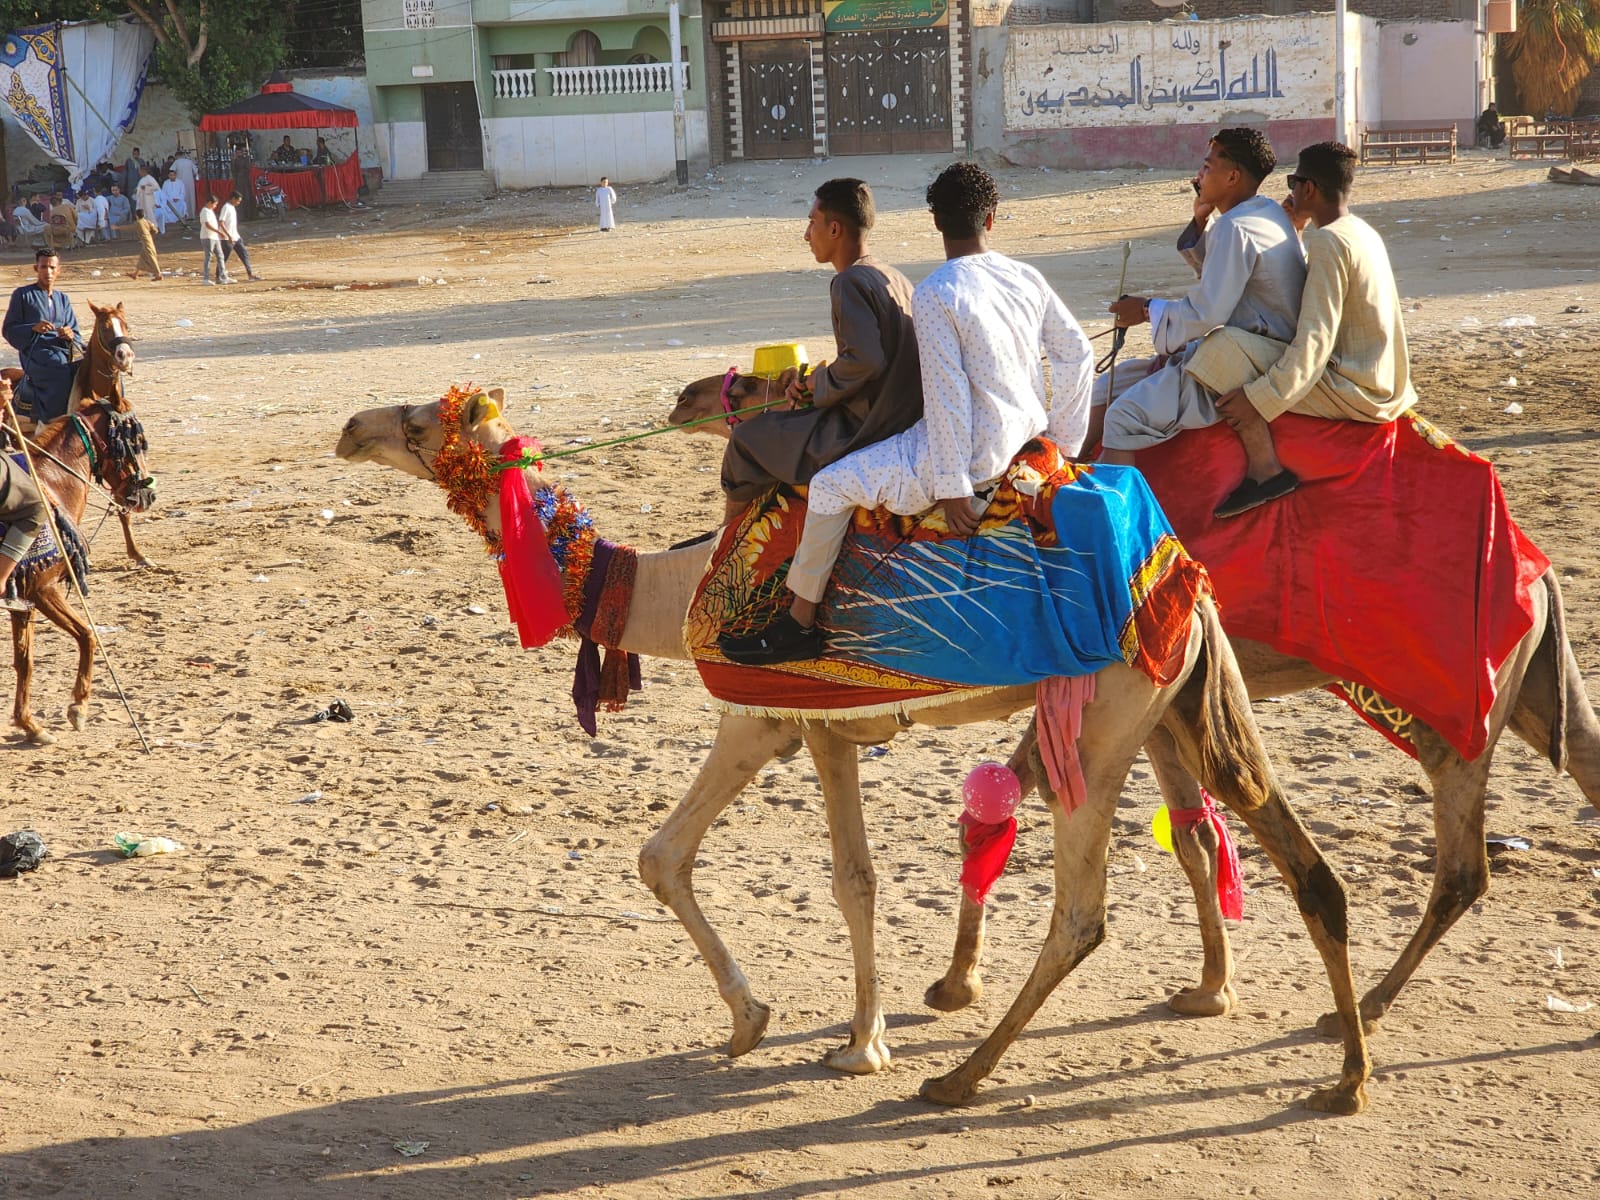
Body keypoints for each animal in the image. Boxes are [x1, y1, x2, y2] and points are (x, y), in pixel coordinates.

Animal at [337, 390, 1376, 1113]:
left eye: (422, 420)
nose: (350, 426)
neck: (680, 587)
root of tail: (1178, 575)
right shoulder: (819, 733)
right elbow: (843, 877)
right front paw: (826, 1031)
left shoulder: (758, 716)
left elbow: (682, 858)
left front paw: (795, 1034)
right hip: (1182, 706)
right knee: (1293, 860)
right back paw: (1335, 1068)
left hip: (1102, 720)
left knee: (1083, 913)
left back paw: (960, 1078)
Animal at [668, 371, 1600, 1036]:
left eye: (791, 381)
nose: (688, 396)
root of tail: (1536, 565)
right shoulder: (1152, 699)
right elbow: (1180, 837)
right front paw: (1209, 987)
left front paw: (957, 982)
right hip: (1530, 684)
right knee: (1582, 759)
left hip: (1457, 705)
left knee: (1461, 860)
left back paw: (1365, 1005)